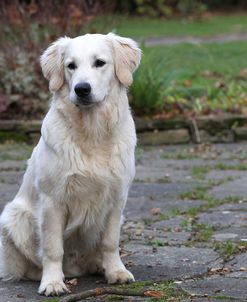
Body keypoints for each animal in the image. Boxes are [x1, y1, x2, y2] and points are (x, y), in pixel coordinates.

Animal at [0, 33, 141, 294]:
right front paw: (52, 282)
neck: (92, 132)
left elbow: (110, 242)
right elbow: (53, 247)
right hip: (14, 217)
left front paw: (116, 272)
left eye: (100, 63)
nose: (82, 89)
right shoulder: (52, 200)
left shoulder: (117, 198)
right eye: (71, 66)